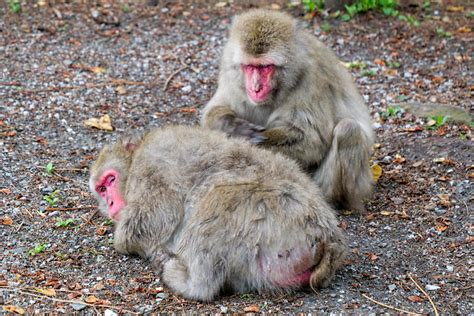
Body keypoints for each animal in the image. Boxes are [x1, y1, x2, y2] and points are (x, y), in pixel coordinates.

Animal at [90, 125, 348, 302]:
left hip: (269, 218)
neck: (135, 158)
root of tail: (326, 238)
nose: (110, 203)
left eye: (110, 180)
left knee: (218, 196)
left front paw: (125, 240)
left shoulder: (151, 165)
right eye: (101, 190)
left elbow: (155, 219)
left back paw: (187, 281)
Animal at [202, 9, 376, 214]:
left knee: (348, 130)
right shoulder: (229, 71)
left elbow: (310, 140)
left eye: (266, 67)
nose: (255, 88)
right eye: (250, 66)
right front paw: (233, 127)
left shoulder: (312, 80)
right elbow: (213, 111)